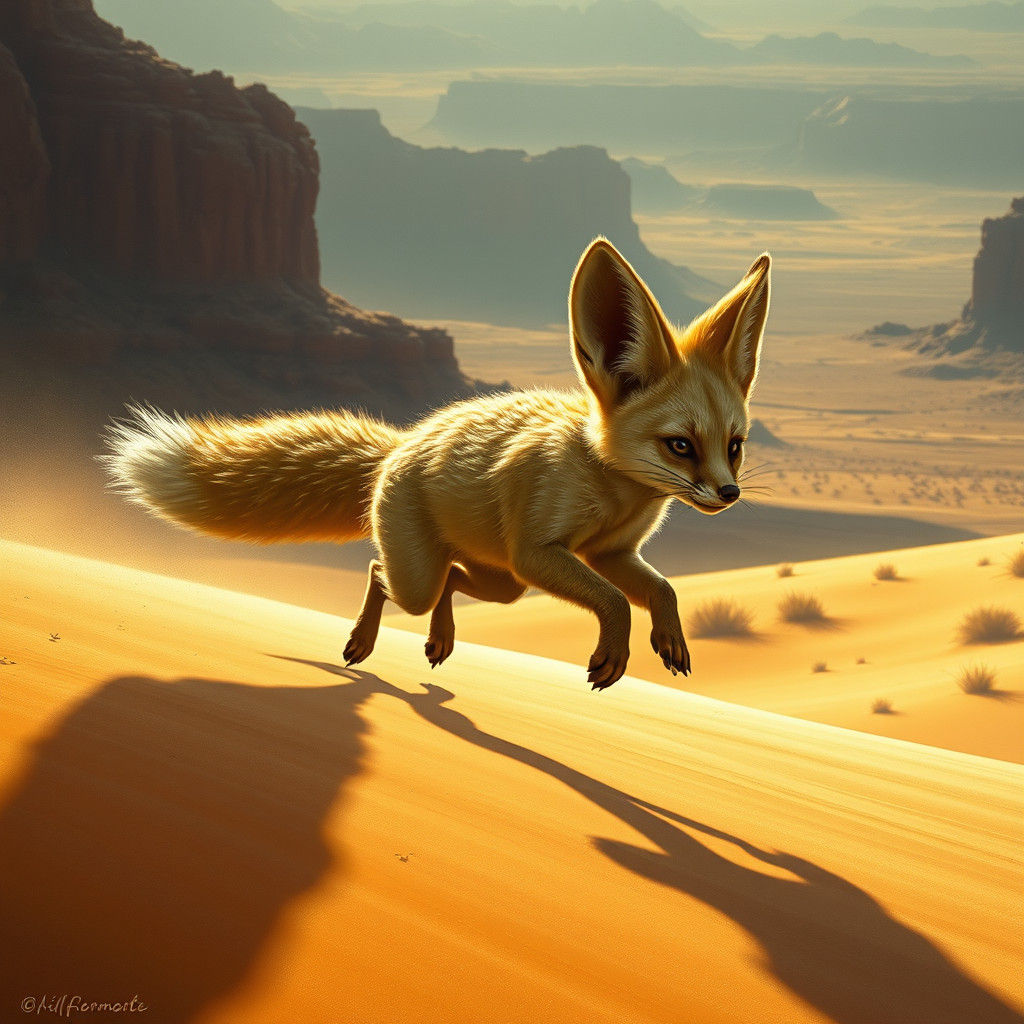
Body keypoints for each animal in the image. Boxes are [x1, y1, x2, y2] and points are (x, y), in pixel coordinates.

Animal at [106, 239, 770, 689]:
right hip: (448, 574)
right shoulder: (540, 551)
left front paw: (670, 639)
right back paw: (362, 641)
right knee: (383, 572)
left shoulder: (608, 553)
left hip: (502, 583)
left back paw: (439, 639)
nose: (728, 494)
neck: (612, 488)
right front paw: (614, 655)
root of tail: (401, 444)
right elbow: (613, 601)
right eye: (680, 445)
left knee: (452, 579)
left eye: (734, 445)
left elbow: (661, 588)